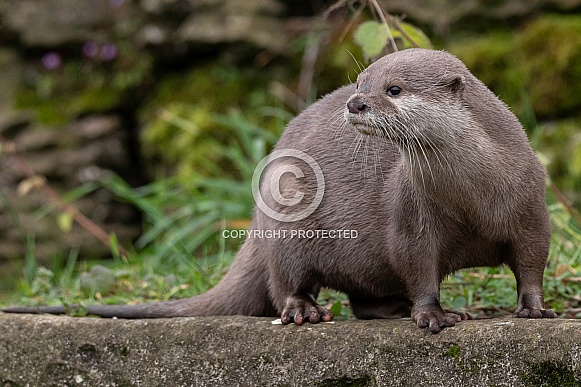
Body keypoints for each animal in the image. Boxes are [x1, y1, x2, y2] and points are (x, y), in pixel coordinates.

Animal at [2, 48, 556, 334]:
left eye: (394, 89)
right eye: (362, 80)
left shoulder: (531, 205)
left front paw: (534, 309)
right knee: (283, 281)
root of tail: (258, 213)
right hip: (288, 229)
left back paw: (387, 308)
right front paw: (433, 314)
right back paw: (305, 311)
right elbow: (419, 267)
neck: (472, 195)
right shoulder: (412, 216)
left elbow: (531, 260)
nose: (355, 102)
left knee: (364, 299)